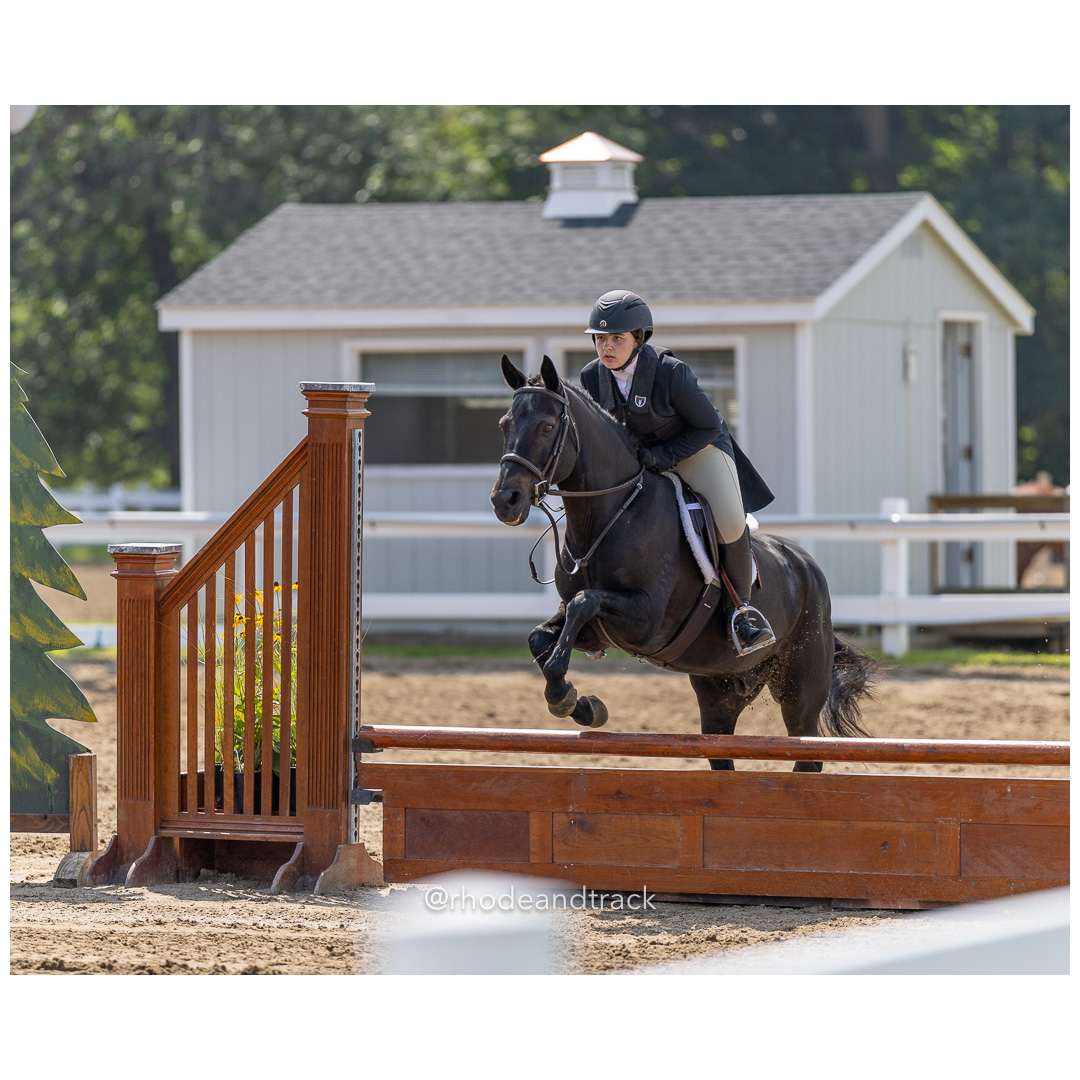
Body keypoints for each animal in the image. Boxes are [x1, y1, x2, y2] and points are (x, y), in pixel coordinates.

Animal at [490, 355, 880, 772]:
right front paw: (580, 704)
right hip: (720, 689)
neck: (609, 513)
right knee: (721, 750)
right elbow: (542, 637)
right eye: (504, 425)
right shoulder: (593, 628)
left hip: (799, 691)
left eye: (547, 426)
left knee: (807, 748)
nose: (505, 501)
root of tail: (806, 565)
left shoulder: (645, 621)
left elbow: (585, 602)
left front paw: (569, 700)